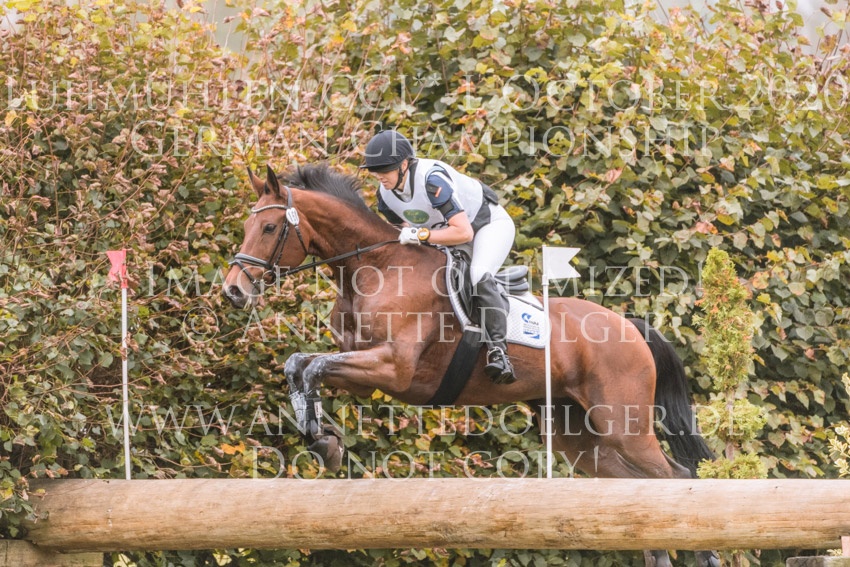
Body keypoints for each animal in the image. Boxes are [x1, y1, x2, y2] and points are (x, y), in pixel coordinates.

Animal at [223, 163, 719, 567]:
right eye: (248, 225)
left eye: (269, 226)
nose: (233, 291)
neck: (374, 268)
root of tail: (629, 325)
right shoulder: (362, 370)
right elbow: (301, 364)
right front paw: (323, 439)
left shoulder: (393, 369)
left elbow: (314, 367)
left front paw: (325, 441)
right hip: (576, 434)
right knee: (636, 491)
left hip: (622, 422)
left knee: (676, 478)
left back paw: (708, 553)